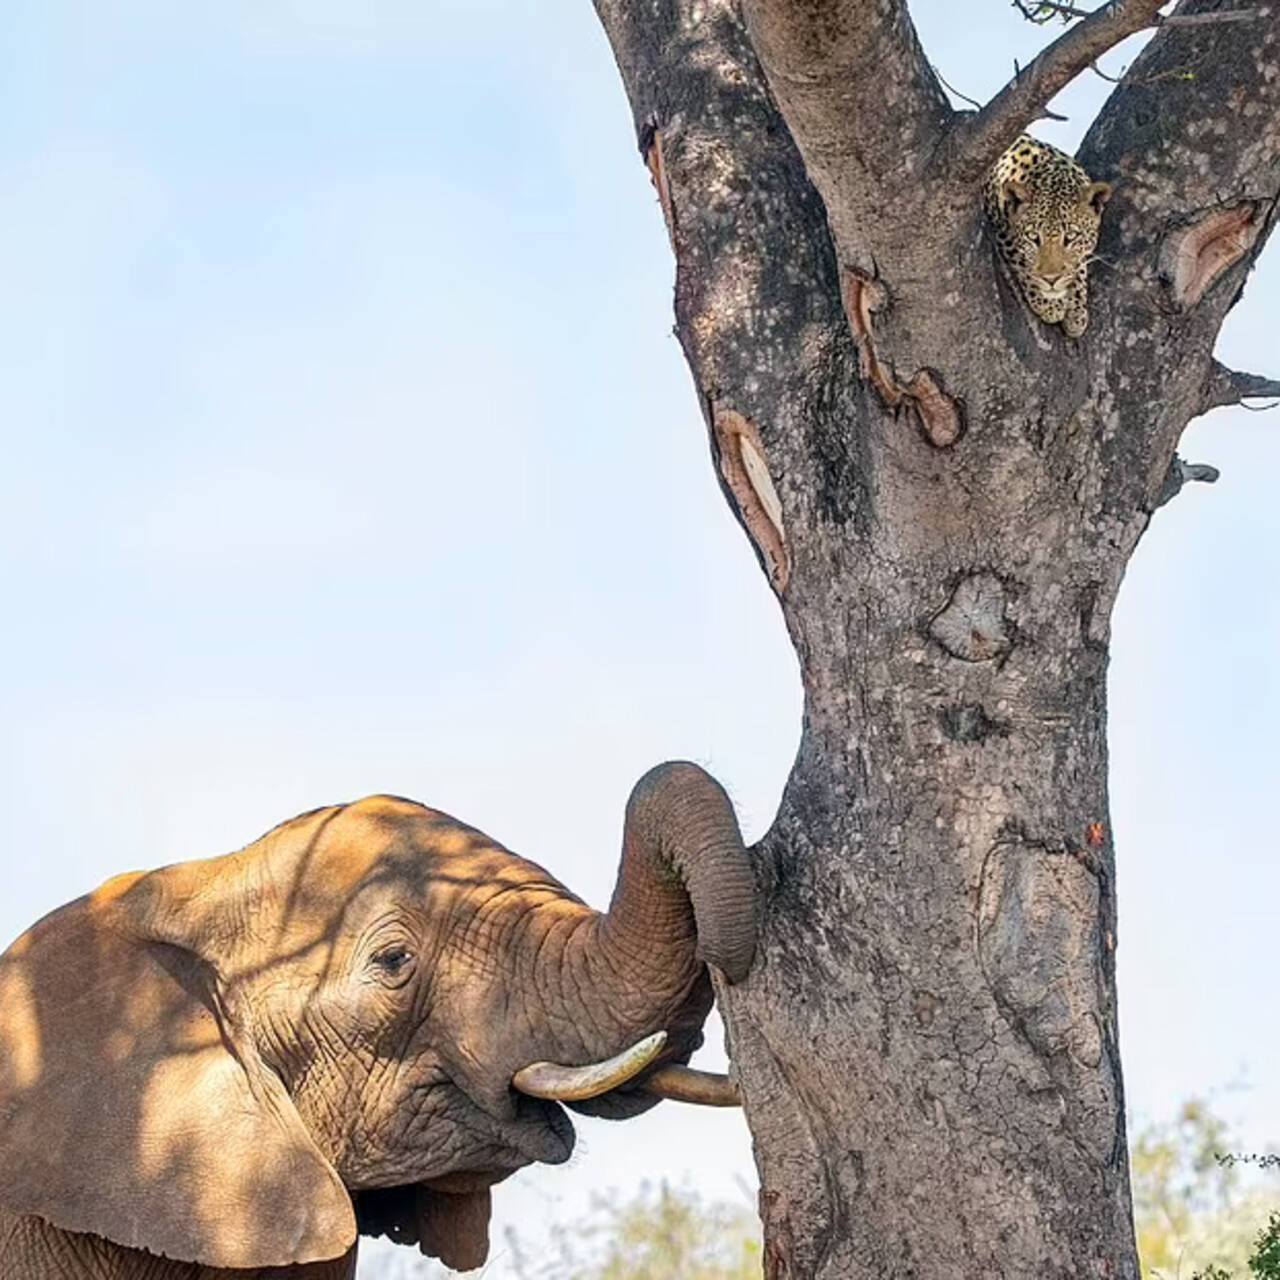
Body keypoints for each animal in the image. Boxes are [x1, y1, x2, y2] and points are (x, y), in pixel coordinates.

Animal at [988, 134, 1111, 337]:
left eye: (1071, 237)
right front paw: (1049, 305)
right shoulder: (1000, 230)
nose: (1051, 280)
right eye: (1032, 237)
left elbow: (1078, 265)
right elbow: (1022, 261)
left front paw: (1076, 311)